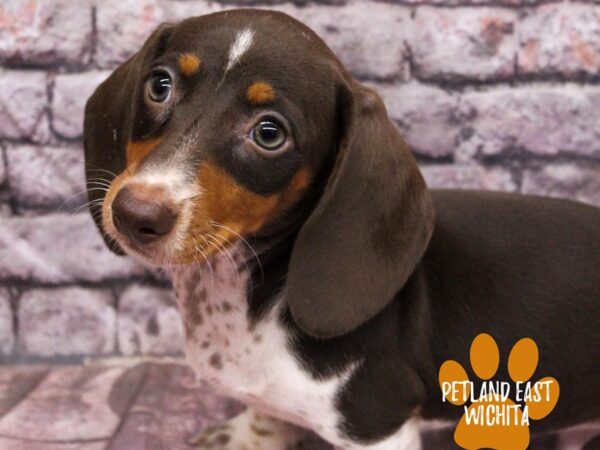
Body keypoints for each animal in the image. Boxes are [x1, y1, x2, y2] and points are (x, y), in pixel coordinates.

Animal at [84, 7, 600, 450]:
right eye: (160, 86)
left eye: (269, 133)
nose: (135, 214)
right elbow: (266, 416)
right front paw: (249, 435)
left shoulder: (376, 422)